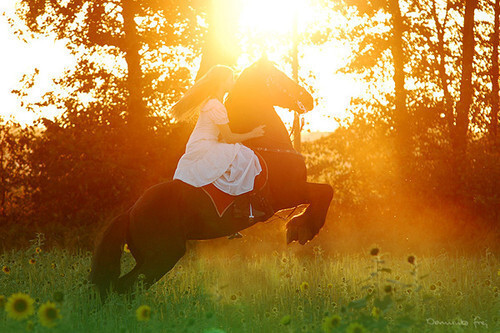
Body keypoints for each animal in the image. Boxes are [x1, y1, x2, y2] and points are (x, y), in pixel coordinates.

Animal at [90, 57, 334, 298]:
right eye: (277, 76)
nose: (308, 99)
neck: (271, 147)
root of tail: (130, 213)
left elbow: (324, 193)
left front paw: (300, 227)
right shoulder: (289, 192)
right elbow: (325, 192)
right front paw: (303, 229)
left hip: (151, 258)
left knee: (123, 287)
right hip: (162, 256)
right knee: (125, 287)